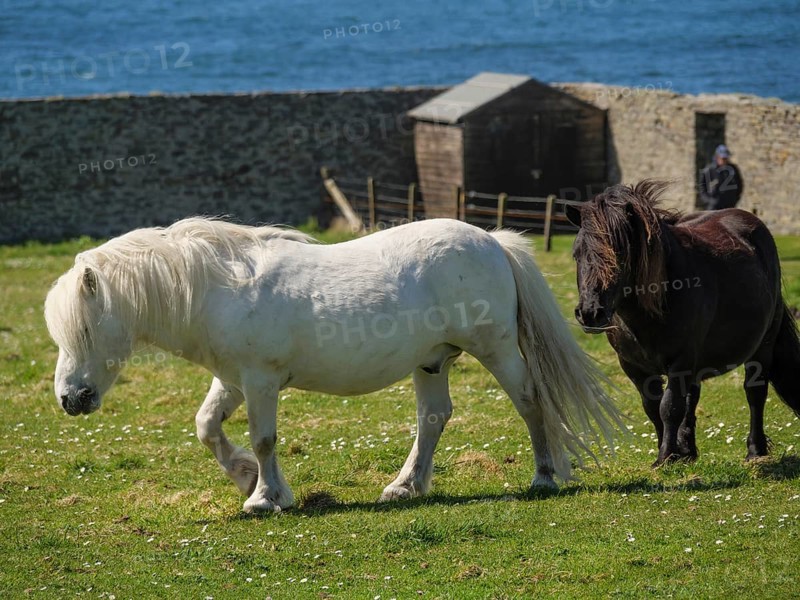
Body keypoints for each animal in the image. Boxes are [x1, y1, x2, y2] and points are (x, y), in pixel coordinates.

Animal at [44, 217, 623, 513]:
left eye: (86, 330)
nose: (70, 399)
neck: (216, 288)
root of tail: (494, 243)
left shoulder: (259, 381)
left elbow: (264, 439)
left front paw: (264, 498)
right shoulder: (232, 380)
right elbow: (207, 426)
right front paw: (247, 480)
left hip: (497, 350)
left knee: (530, 401)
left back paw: (544, 476)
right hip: (431, 362)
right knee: (433, 418)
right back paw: (405, 486)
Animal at [565, 180, 800, 465]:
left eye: (620, 254)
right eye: (577, 254)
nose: (590, 313)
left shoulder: (681, 361)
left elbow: (669, 407)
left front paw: (666, 455)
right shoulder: (634, 367)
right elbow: (652, 407)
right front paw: (672, 452)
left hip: (762, 346)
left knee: (755, 392)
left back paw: (755, 450)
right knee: (693, 396)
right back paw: (689, 450)